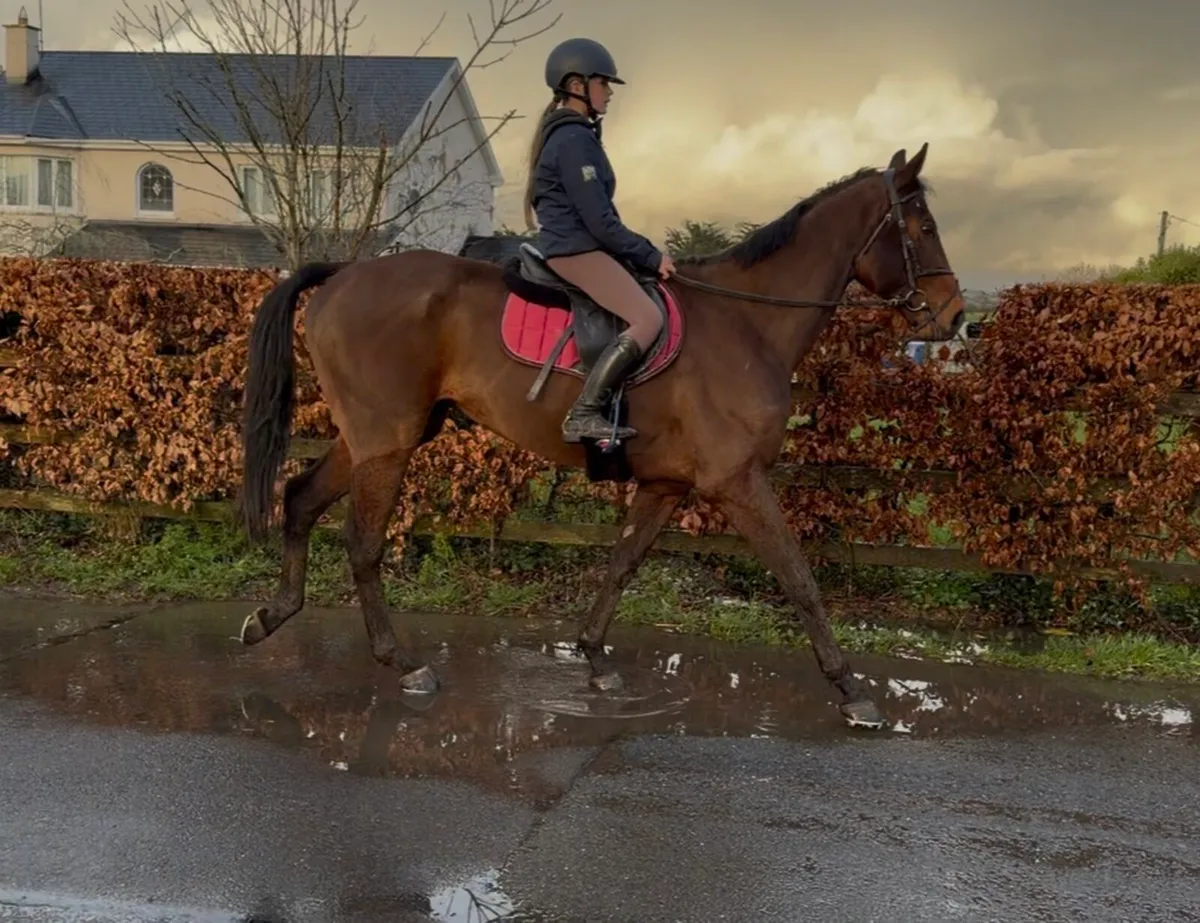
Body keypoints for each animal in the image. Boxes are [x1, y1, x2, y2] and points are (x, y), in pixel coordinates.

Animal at [237, 142, 965, 730]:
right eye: (924, 227)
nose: (956, 316)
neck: (747, 324)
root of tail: (343, 272)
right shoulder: (738, 483)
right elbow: (800, 578)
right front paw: (852, 689)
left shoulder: (667, 484)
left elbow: (621, 563)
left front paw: (593, 656)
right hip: (386, 443)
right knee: (362, 543)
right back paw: (403, 661)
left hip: (370, 438)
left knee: (300, 500)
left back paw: (269, 617)